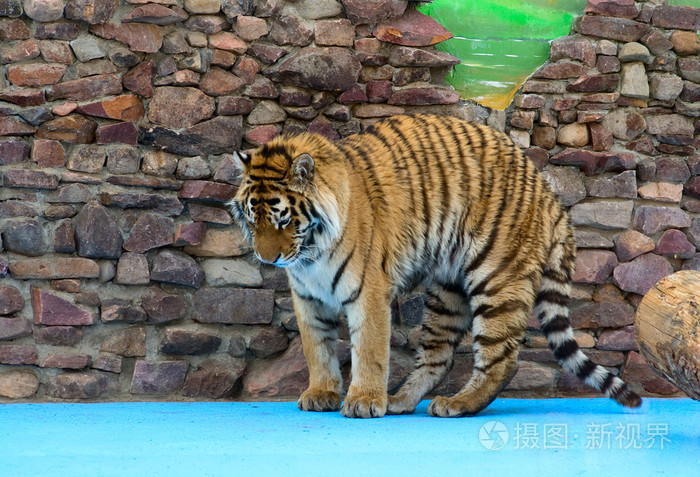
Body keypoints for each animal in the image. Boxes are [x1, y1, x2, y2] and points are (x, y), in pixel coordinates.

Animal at [229, 113, 642, 418]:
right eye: (253, 217)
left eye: (283, 219)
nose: (267, 258)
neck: (310, 253)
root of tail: (544, 185)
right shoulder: (307, 296)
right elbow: (317, 347)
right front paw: (322, 393)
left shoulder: (369, 291)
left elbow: (370, 349)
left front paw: (363, 401)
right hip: (448, 290)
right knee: (438, 356)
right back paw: (401, 401)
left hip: (495, 277)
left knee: (503, 357)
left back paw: (457, 404)